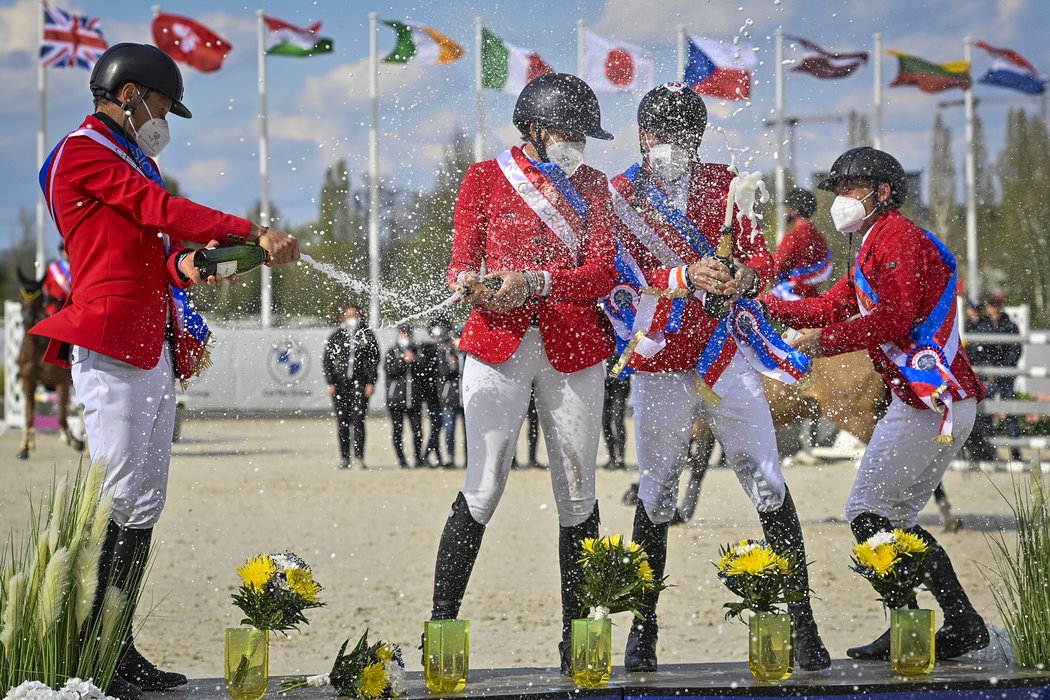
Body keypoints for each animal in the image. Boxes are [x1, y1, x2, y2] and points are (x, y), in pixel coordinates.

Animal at [15, 268, 84, 459]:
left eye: (39, 297)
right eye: (21, 296)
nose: (27, 319)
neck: (37, 348)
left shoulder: (63, 384)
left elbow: (61, 418)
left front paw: (75, 442)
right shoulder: (28, 383)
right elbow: (29, 417)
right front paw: (25, 448)